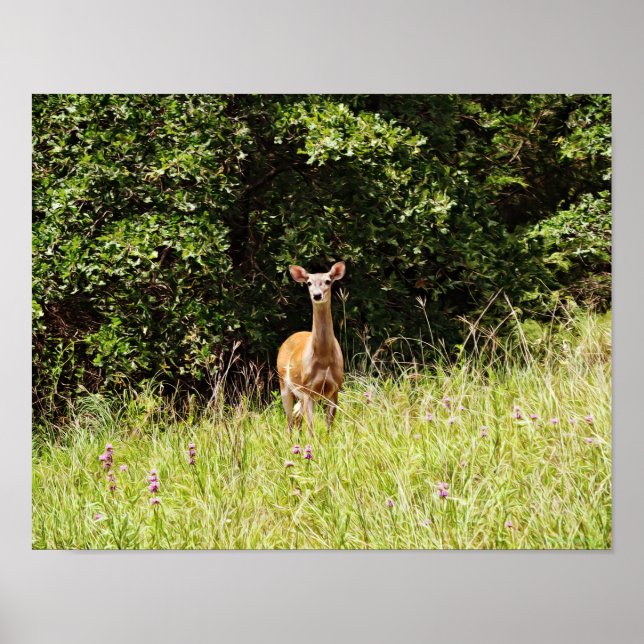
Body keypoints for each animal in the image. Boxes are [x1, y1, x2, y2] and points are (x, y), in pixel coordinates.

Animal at [277, 261, 346, 434]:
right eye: (308, 282)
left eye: (328, 281)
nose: (317, 295)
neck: (324, 359)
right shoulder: (308, 389)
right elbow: (311, 429)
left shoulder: (335, 387)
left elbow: (329, 426)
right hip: (284, 384)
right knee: (289, 421)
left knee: (297, 417)